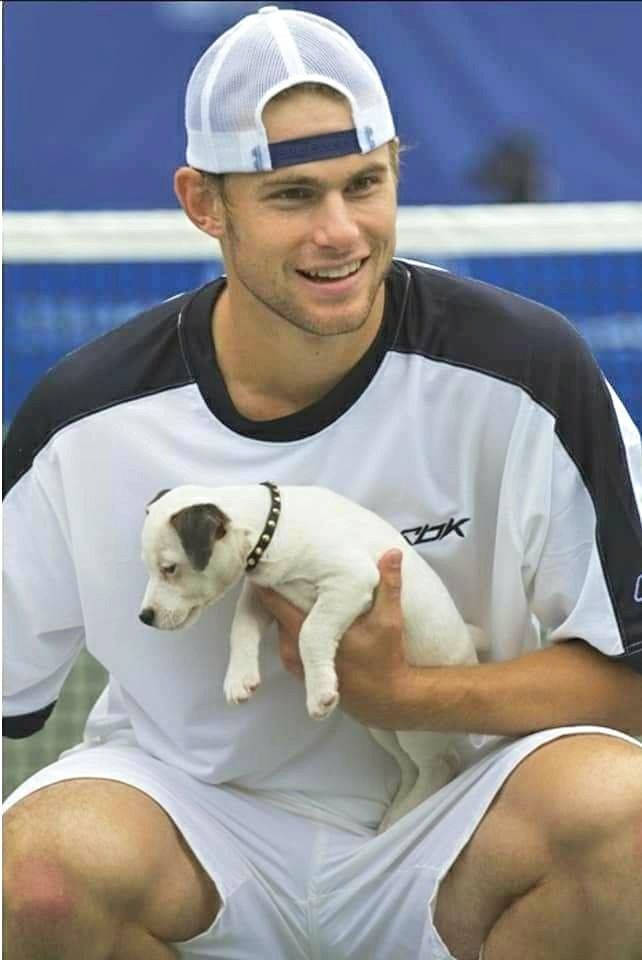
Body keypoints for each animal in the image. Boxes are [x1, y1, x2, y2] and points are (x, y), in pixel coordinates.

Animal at [139, 484, 480, 828]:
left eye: (170, 569)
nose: (144, 617)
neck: (270, 528)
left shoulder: (350, 580)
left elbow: (311, 632)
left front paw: (318, 692)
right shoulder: (261, 594)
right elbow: (241, 627)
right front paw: (239, 678)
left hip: (418, 727)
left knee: (440, 764)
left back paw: (407, 812)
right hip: (382, 725)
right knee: (410, 764)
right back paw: (397, 810)